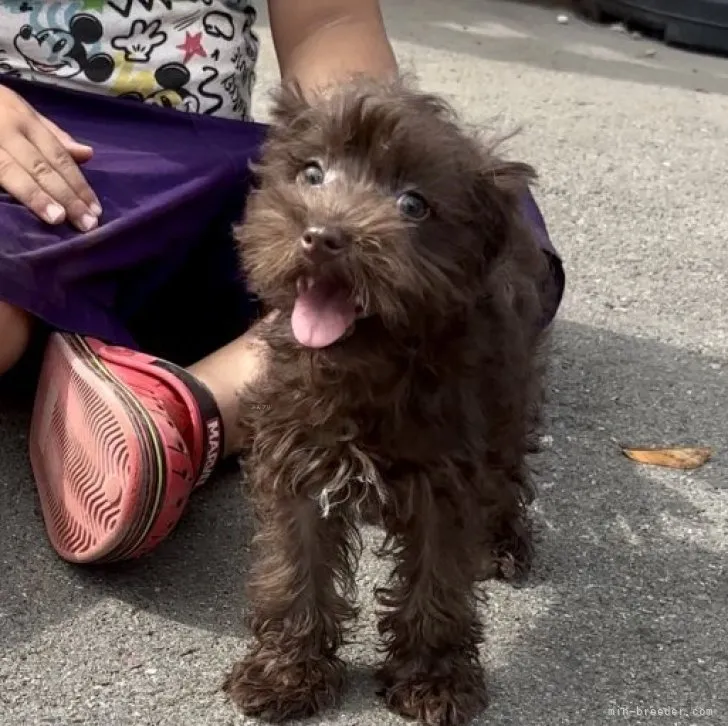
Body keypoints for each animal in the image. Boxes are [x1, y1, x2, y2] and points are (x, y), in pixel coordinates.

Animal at [223, 79, 552, 726]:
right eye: (312, 173)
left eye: (414, 205)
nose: (322, 237)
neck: (368, 370)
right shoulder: (297, 464)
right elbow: (293, 569)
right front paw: (286, 673)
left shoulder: (446, 481)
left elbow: (435, 585)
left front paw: (432, 680)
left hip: (509, 396)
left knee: (507, 473)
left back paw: (503, 542)